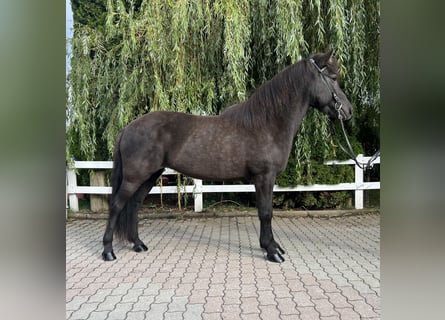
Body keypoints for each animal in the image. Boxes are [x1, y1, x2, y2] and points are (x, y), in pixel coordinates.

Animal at [102, 49, 352, 262]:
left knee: (134, 205)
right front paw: (272, 251)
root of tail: (127, 128)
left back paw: (138, 244)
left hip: (152, 175)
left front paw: (273, 247)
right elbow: (266, 213)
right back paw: (108, 251)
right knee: (117, 205)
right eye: (332, 77)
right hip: (135, 177)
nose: (348, 111)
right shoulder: (264, 177)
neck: (267, 123)